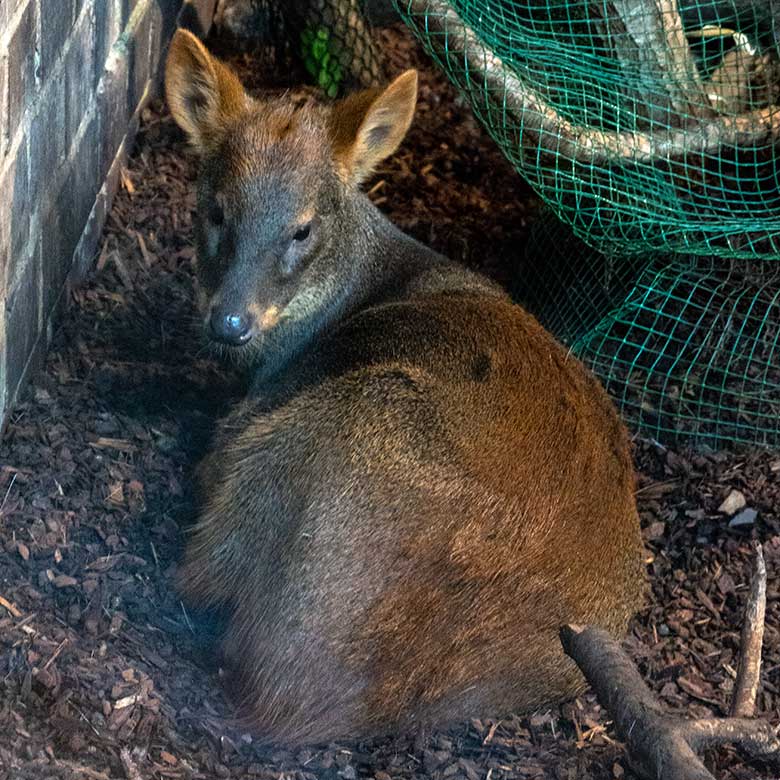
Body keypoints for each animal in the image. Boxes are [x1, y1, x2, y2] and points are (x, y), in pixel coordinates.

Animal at [165, 30, 644, 748]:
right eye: (216, 210)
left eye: (302, 228)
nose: (230, 321)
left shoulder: (257, 413)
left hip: (340, 422)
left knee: (201, 577)